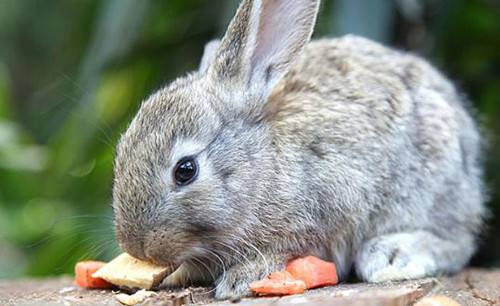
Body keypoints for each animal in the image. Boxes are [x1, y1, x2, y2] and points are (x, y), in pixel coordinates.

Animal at [112, 0, 484, 298]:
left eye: (186, 170)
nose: (136, 247)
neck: (261, 167)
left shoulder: (334, 206)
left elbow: (292, 250)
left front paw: (241, 278)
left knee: (459, 243)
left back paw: (393, 255)